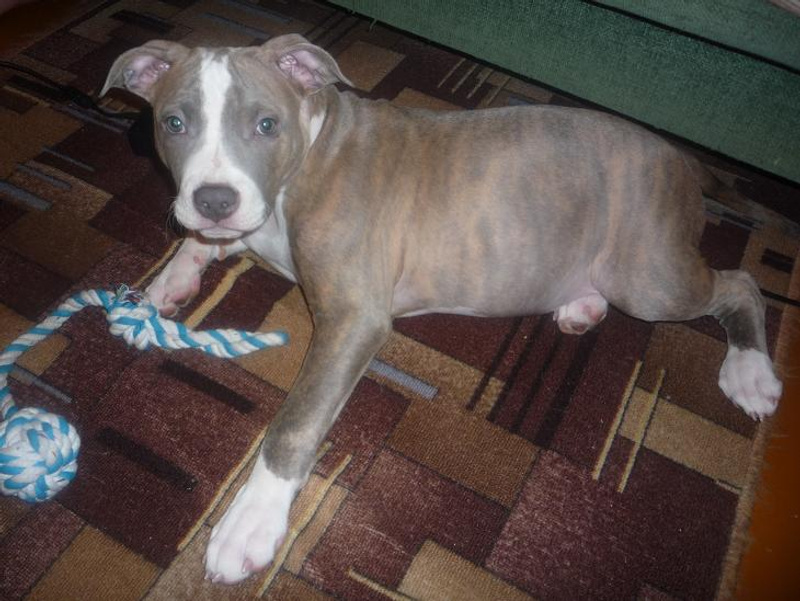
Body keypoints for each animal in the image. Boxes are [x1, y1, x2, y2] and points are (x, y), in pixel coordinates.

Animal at [102, 34, 782, 584]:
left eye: (266, 126)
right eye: (173, 123)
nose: (214, 198)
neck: (309, 149)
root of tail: (680, 157)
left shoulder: (353, 318)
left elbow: (295, 420)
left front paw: (251, 519)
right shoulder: (251, 226)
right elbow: (204, 241)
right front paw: (170, 282)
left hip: (647, 276)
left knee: (740, 284)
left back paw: (750, 371)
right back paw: (580, 306)